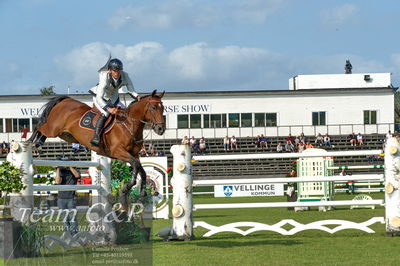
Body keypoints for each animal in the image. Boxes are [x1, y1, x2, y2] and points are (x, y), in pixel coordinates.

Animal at [28, 90, 165, 211]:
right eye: (153, 107)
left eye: (162, 108)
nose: (160, 129)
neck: (129, 125)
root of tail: (65, 100)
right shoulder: (118, 152)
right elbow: (136, 165)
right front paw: (127, 187)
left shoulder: (134, 154)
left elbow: (141, 170)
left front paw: (141, 194)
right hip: (53, 129)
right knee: (39, 126)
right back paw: (31, 142)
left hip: (64, 134)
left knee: (43, 132)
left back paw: (38, 142)